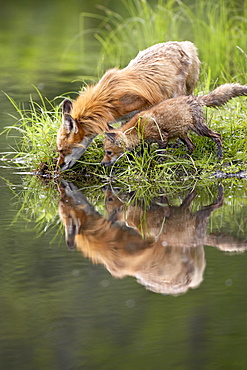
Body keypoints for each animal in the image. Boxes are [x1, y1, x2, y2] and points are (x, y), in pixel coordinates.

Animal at [56, 41, 201, 170]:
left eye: (62, 150)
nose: (58, 167)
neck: (108, 102)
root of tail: (183, 44)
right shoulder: (125, 119)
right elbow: (125, 138)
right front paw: (133, 158)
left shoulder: (147, 108)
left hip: (178, 93)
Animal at [102, 84, 247, 166]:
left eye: (108, 152)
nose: (102, 163)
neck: (138, 128)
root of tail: (195, 98)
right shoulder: (146, 142)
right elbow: (144, 152)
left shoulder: (162, 137)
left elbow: (160, 154)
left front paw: (159, 164)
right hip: (182, 133)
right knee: (192, 146)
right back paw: (185, 158)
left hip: (199, 128)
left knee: (217, 136)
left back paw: (219, 156)